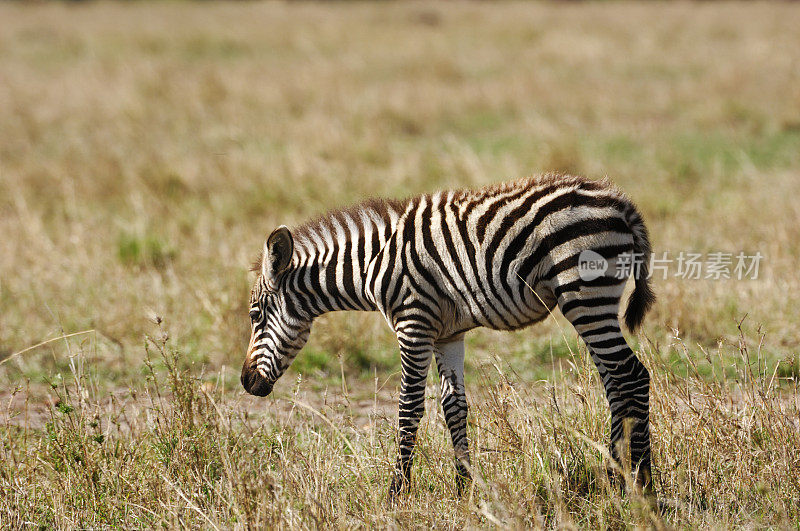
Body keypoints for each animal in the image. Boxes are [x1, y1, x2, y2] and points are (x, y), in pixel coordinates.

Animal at [242, 176, 656, 498]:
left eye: (255, 315)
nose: (246, 382)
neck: (372, 265)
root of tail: (621, 203)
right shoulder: (447, 335)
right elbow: (453, 405)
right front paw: (464, 489)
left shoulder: (414, 323)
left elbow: (408, 408)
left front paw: (397, 493)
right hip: (592, 304)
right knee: (615, 381)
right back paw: (614, 478)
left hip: (585, 296)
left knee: (633, 376)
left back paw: (643, 485)